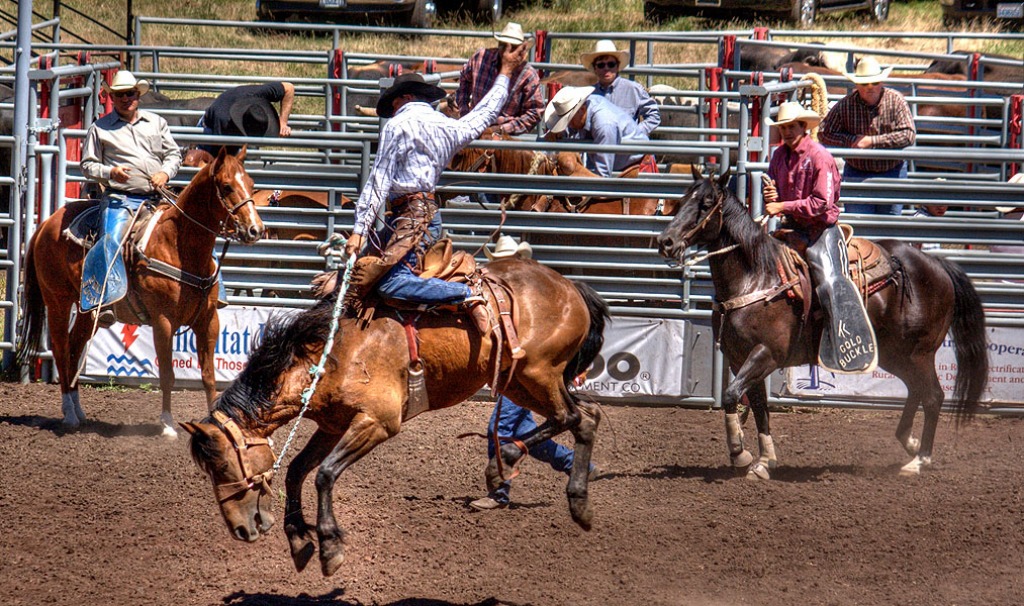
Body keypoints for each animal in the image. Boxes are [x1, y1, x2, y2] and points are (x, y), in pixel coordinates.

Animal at [17, 149, 264, 438]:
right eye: (226, 186)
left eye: (251, 184)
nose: (256, 229)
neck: (179, 245)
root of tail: (46, 223)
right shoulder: (163, 321)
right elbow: (167, 375)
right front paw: (167, 425)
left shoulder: (208, 320)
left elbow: (208, 376)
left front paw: (218, 423)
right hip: (57, 300)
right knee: (60, 348)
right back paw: (69, 414)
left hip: (88, 311)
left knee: (75, 348)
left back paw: (79, 410)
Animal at [180, 256, 606, 577]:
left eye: (223, 466)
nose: (240, 529)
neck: (329, 353)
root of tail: (569, 286)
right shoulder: (332, 426)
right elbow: (298, 470)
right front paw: (300, 540)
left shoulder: (377, 423)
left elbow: (324, 474)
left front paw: (329, 546)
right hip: (519, 381)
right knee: (585, 416)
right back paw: (561, 495)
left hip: (537, 373)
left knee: (572, 416)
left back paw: (520, 474)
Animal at [659, 168, 987, 479]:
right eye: (683, 199)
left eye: (706, 204)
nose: (666, 242)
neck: (756, 278)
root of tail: (937, 264)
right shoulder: (739, 359)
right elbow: (759, 407)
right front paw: (765, 461)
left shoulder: (766, 354)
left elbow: (730, 396)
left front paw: (740, 454)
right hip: (895, 353)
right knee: (916, 391)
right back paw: (910, 443)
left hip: (920, 352)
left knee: (932, 396)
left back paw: (919, 461)